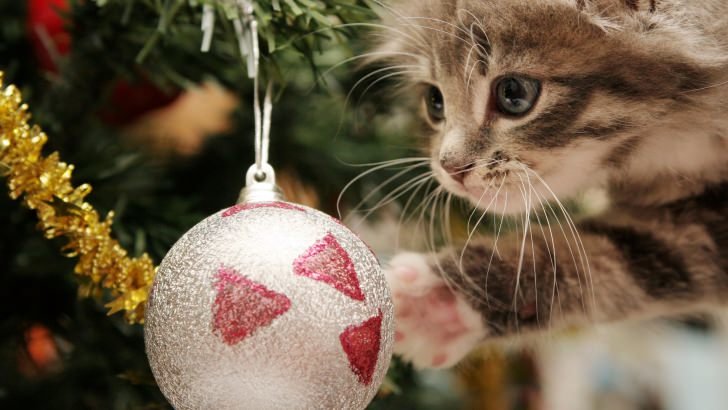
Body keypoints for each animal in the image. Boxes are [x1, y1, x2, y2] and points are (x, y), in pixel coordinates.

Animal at [370, 0, 728, 368]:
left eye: (513, 93)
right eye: (435, 101)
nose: (450, 167)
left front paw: (443, 299)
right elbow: (631, 250)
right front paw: (442, 303)